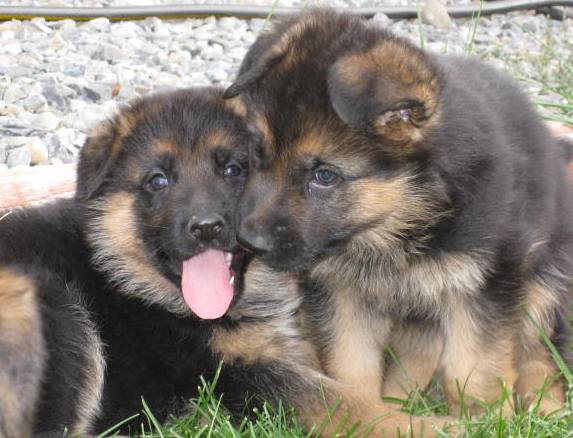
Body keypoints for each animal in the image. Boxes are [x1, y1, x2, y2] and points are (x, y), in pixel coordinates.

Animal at [225, 7, 572, 418]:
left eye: (324, 176)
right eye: (258, 151)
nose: (249, 241)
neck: (403, 215)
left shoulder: (487, 282)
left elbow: (473, 369)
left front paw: (482, 419)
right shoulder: (341, 292)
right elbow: (350, 364)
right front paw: (365, 410)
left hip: (544, 281)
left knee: (540, 349)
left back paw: (544, 404)